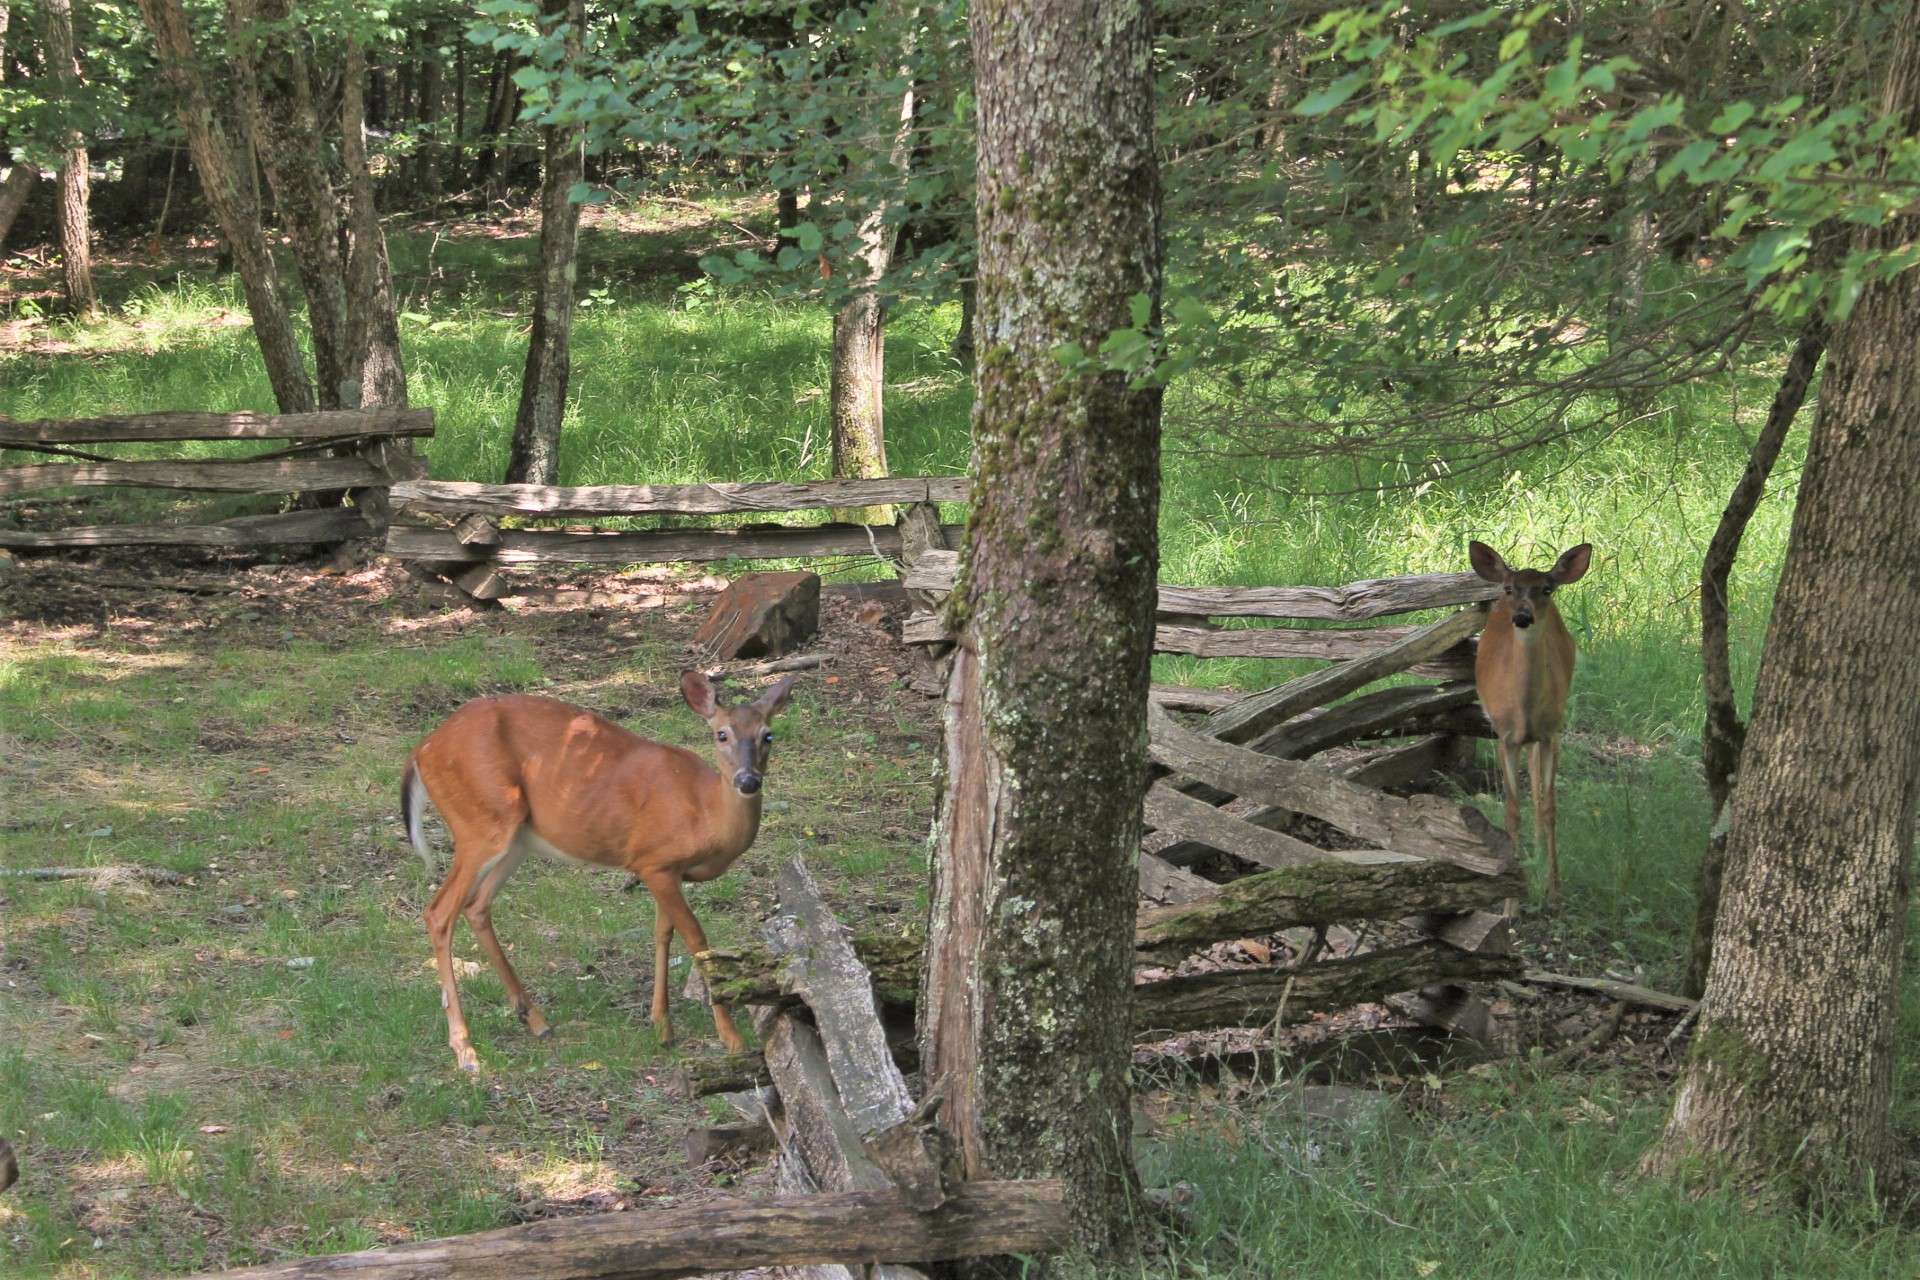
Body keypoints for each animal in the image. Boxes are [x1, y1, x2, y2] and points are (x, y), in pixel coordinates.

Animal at [401, 671, 798, 1074]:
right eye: (721, 734)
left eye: (768, 734)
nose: (748, 781)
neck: (705, 814)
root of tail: (421, 751)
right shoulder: (654, 863)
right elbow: (696, 939)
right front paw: (730, 1039)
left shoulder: (661, 866)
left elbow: (663, 934)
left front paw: (662, 1026)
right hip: (481, 822)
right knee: (439, 912)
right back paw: (465, 1050)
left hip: (515, 838)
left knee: (476, 905)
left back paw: (537, 1021)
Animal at [1466, 541, 1589, 909]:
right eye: (1509, 588)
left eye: (1547, 589)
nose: (1522, 616)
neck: (1524, 710)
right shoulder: (1505, 736)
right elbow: (1511, 810)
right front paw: (1510, 903)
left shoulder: (1550, 733)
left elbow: (1548, 807)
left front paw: (1554, 892)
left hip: (1554, 729)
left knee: (1537, 789)